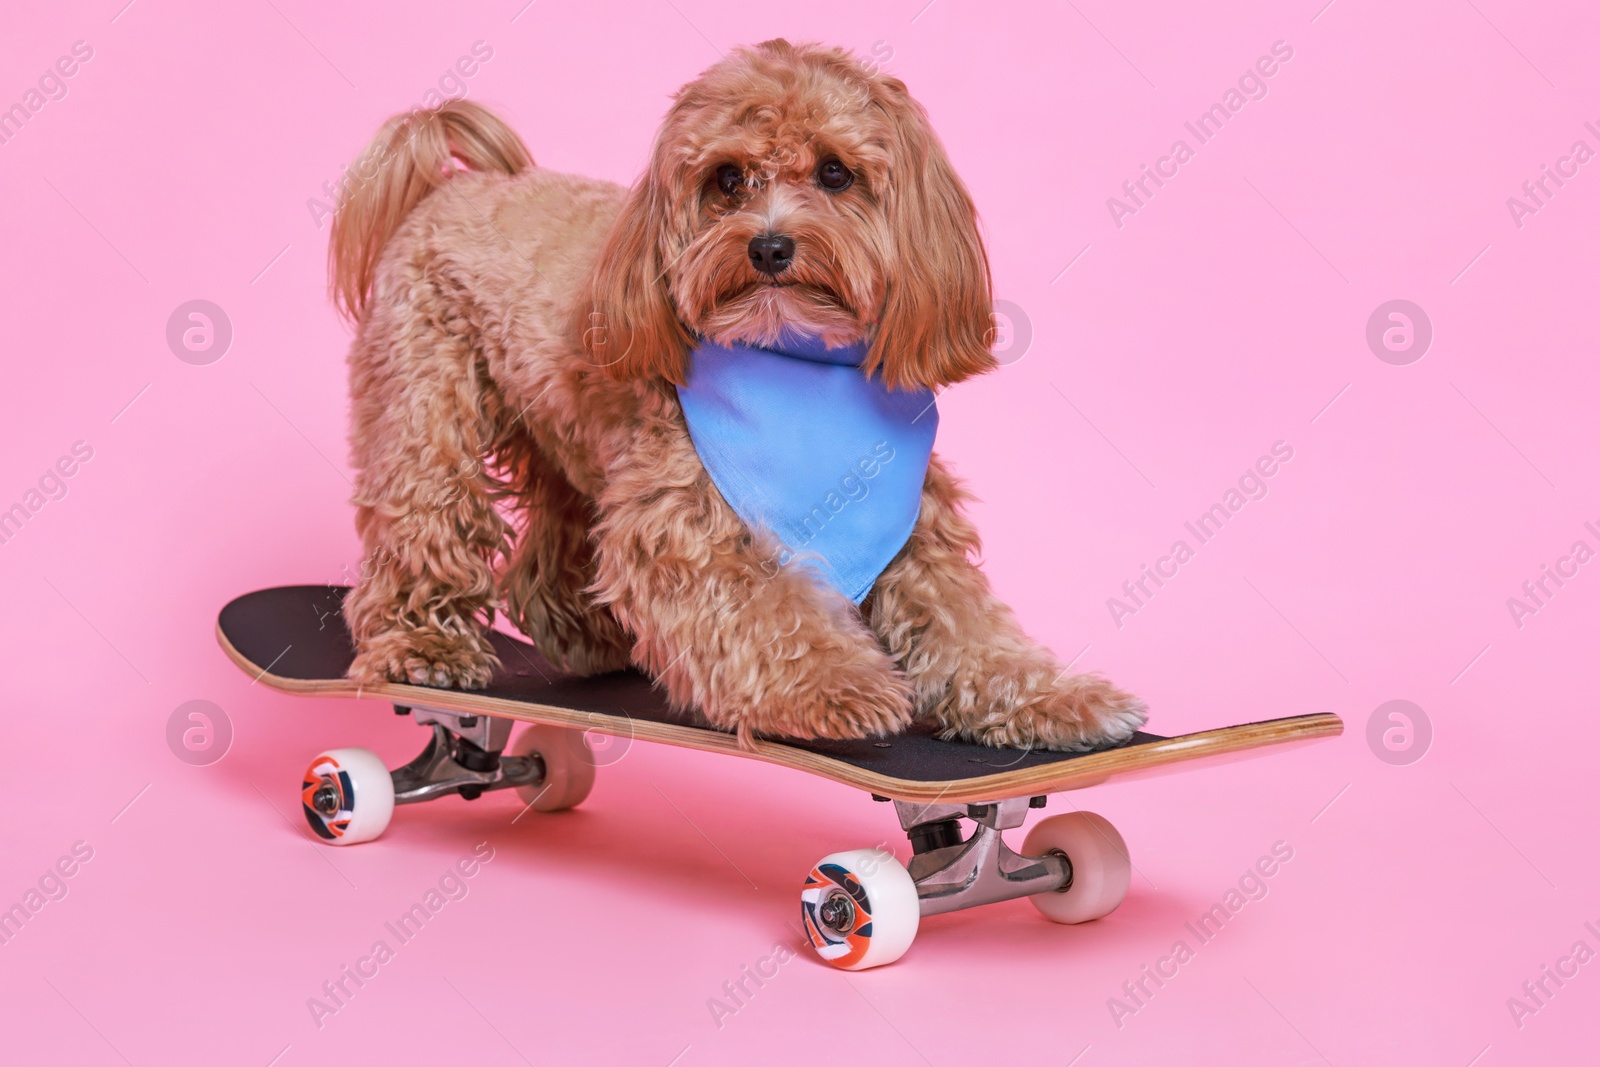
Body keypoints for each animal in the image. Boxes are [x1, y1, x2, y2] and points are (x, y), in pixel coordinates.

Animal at [331, 37, 1145, 748]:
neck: (795, 360)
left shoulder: (910, 521)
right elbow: (764, 614)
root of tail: (456, 185)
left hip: (566, 429)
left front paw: (1054, 700)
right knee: (425, 517)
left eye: (835, 173)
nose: (770, 246)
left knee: (554, 539)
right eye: (726, 179)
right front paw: (834, 688)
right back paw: (423, 643)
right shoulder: (684, 525)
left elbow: (967, 626)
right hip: (425, 406)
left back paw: (585, 634)